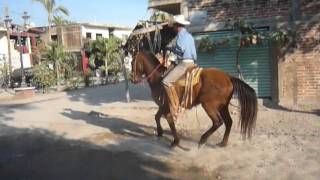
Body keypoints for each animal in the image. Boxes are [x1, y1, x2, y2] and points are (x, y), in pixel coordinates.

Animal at [130, 51, 258, 148]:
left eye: (132, 62)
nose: (132, 79)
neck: (158, 77)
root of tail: (228, 77)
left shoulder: (166, 105)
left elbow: (168, 120)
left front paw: (175, 141)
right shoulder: (163, 105)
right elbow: (157, 117)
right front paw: (160, 132)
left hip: (209, 106)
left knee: (218, 122)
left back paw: (202, 140)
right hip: (223, 106)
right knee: (229, 122)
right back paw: (223, 143)